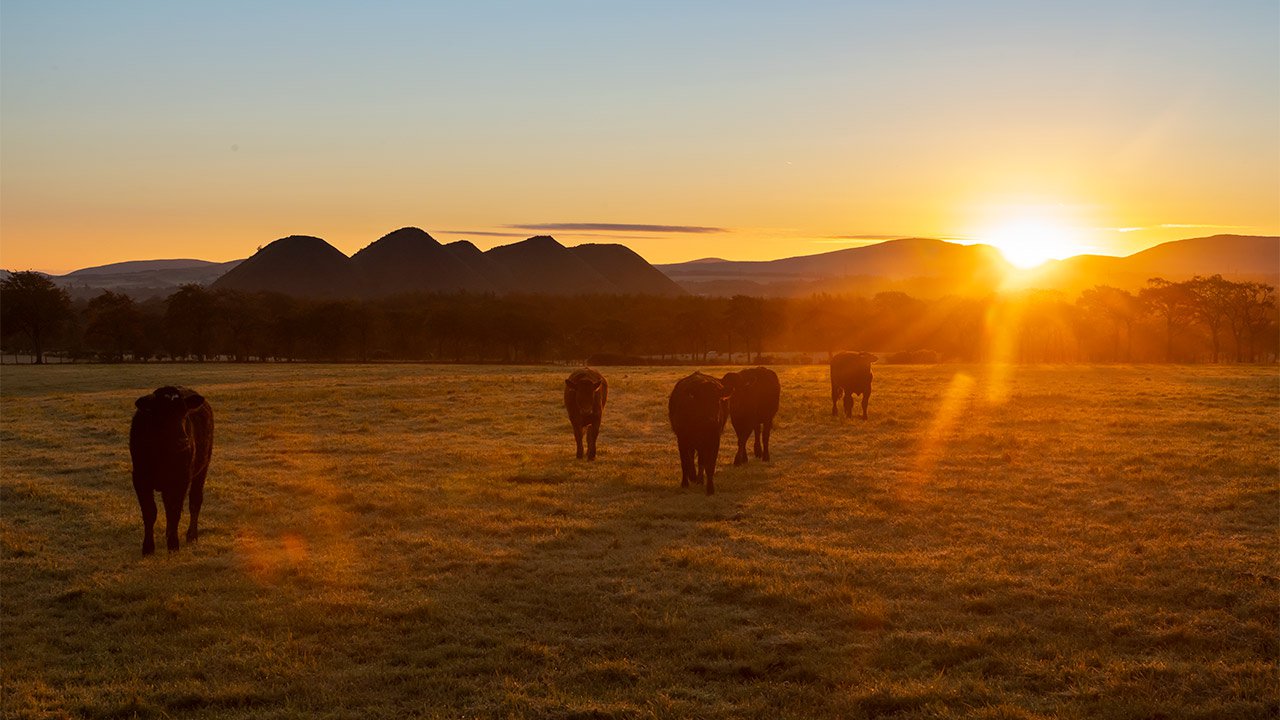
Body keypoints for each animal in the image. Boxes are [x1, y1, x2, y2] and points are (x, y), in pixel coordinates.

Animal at [128, 384, 213, 550]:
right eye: (162, 414)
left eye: (185, 413)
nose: (183, 440)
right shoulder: (140, 478)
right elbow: (149, 511)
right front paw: (148, 547)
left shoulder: (181, 479)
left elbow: (174, 511)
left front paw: (173, 545)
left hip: (203, 468)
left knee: (195, 501)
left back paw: (191, 535)